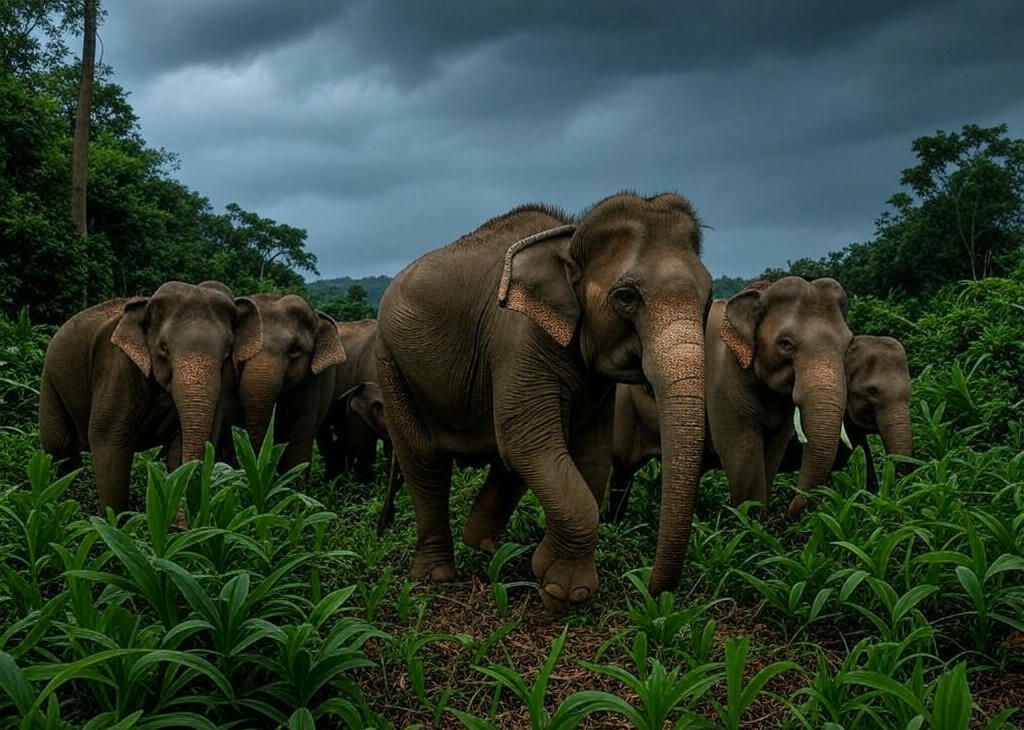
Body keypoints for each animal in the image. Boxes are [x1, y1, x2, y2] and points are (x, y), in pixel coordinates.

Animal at [39, 281, 263, 514]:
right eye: (163, 347)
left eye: (227, 351)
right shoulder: (116, 367)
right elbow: (108, 439)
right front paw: (113, 520)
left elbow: (182, 444)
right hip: (51, 381)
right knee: (59, 445)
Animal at [375, 192, 712, 613]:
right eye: (625, 297)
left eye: (709, 298)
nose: (650, 589)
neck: (569, 243)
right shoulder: (518, 339)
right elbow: (528, 441)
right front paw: (564, 591)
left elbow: (590, 453)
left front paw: (547, 573)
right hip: (393, 363)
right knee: (425, 460)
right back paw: (437, 576)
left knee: (506, 461)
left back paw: (487, 549)